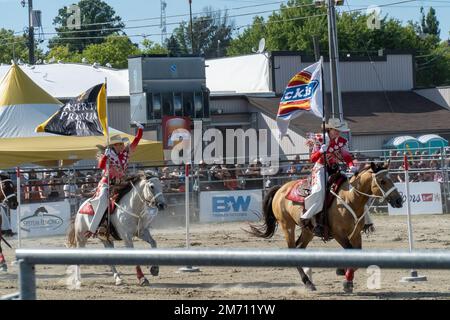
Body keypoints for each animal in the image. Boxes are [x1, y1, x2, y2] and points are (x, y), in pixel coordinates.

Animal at [248, 162, 402, 292]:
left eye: (391, 178)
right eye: (382, 181)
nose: (399, 200)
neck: (349, 198)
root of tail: (280, 189)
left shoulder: (356, 233)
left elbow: (356, 255)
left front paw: (345, 275)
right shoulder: (339, 234)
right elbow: (350, 251)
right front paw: (345, 279)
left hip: (308, 231)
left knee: (299, 248)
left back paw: (309, 280)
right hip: (287, 226)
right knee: (292, 250)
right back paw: (308, 282)